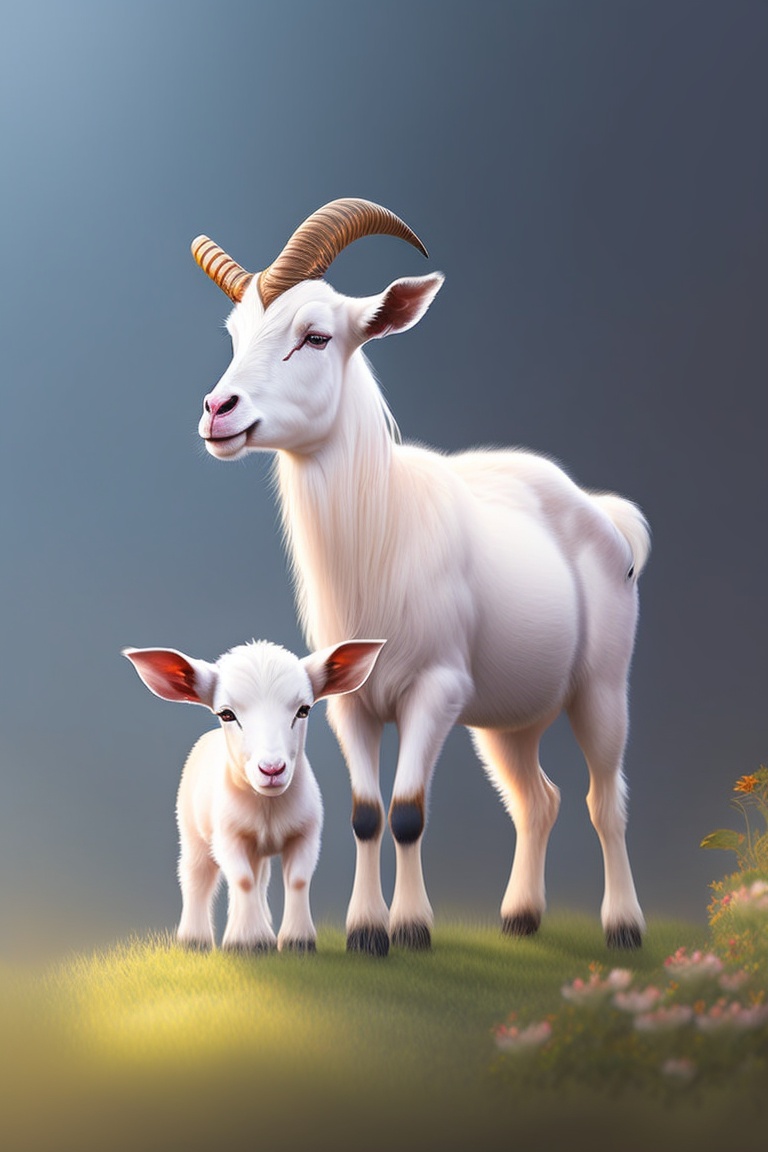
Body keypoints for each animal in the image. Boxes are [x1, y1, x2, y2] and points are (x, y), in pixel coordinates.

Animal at [124, 637, 384, 952]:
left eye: (303, 710)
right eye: (226, 714)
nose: (272, 769)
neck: (268, 807)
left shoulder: (306, 834)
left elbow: (296, 880)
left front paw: (296, 941)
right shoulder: (227, 836)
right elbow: (242, 879)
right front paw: (250, 941)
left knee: (259, 878)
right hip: (192, 830)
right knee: (197, 876)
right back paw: (194, 940)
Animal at [189, 199, 651, 956]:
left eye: (315, 335)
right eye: (233, 335)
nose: (217, 412)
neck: (382, 534)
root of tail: (605, 517)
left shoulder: (434, 692)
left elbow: (407, 812)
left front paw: (407, 929)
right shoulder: (349, 705)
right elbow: (366, 813)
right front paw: (363, 932)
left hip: (601, 689)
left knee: (603, 798)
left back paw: (623, 926)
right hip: (510, 719)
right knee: (539, 798)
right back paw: (520, 918)